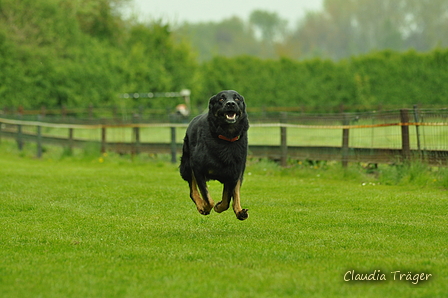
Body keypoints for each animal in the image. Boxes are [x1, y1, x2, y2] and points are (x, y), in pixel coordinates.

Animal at [178, 89, 248, 220]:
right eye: (221, 99)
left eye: (237, 99)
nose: (230, 104)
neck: (226, 137)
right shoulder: (198, 169)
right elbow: (207, 198)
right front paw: (205, 207)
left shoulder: (233, 173)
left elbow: (227, 200)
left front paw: (219, 206)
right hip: (187, 165)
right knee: (193, 191)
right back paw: (200, 205)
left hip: (240, 172)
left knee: (236, 193)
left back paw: (240, 211)